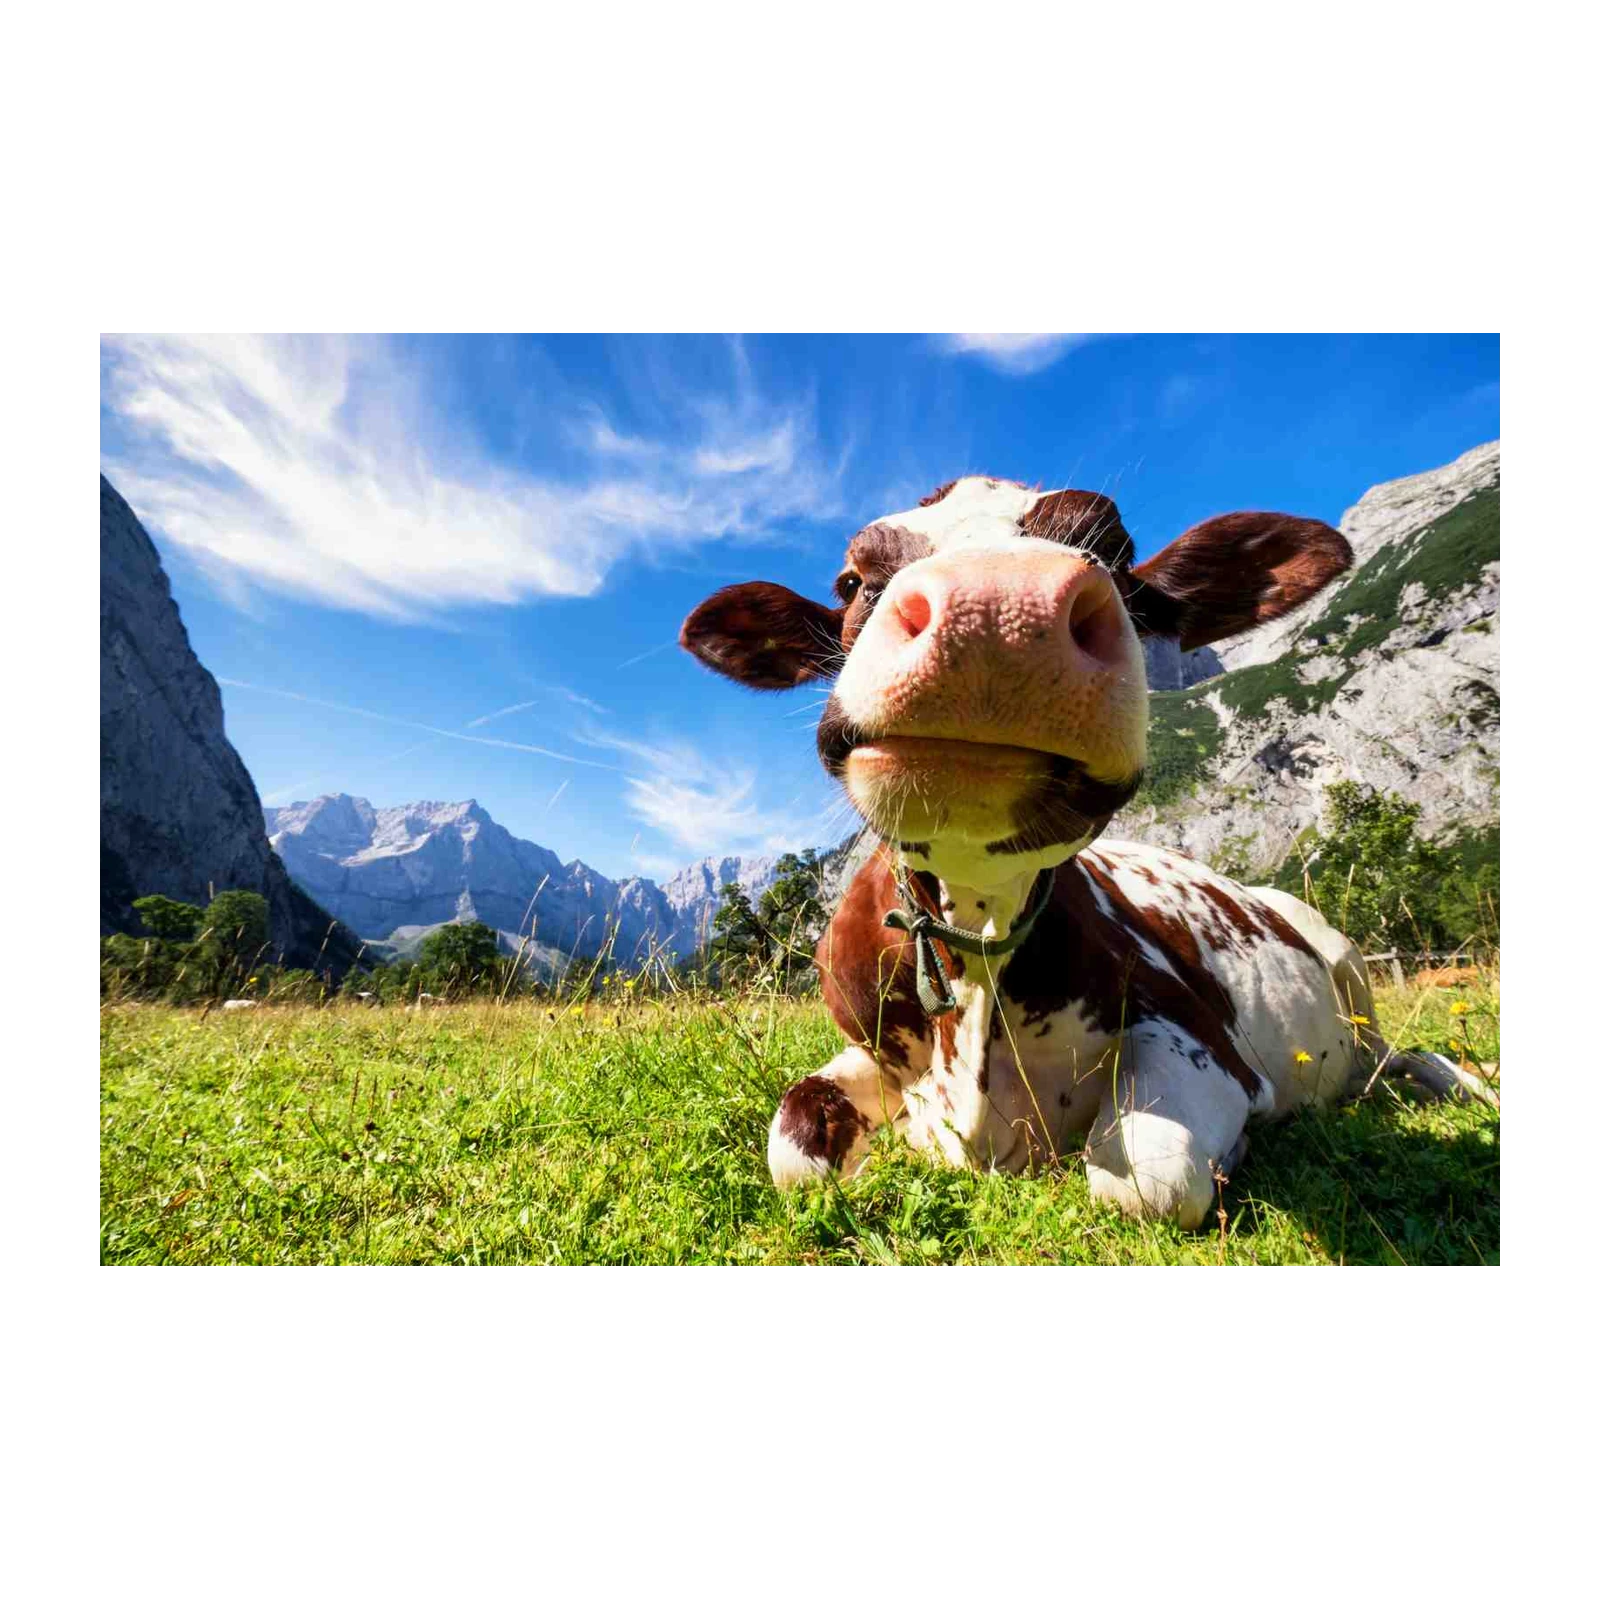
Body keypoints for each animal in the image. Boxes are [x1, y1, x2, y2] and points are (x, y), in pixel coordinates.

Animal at [679, 475, 1487, 1228]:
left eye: (1118, 551)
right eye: (851, 581)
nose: (996, 609)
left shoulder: (1202, 1037)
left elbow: (1147, 1179)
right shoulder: (867, 1050)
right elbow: (792, 1149)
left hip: (1346, 963)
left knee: (1394, 1056)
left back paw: (1458, 1084)